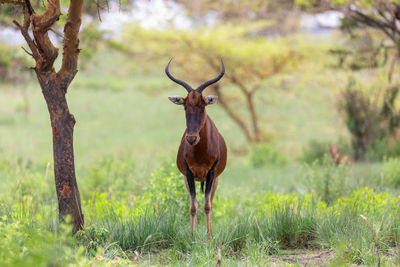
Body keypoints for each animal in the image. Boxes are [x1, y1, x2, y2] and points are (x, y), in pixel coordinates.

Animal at [166, 58, 228, 239]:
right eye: (185, 106)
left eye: (203, 105)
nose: (191, 138)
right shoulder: (188, 173)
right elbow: (193, 206)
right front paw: (192, 237)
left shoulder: (211, 173)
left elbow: (207, 205)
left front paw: (209, 238)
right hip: (188, 180)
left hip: (215, 180)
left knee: (211, 202)